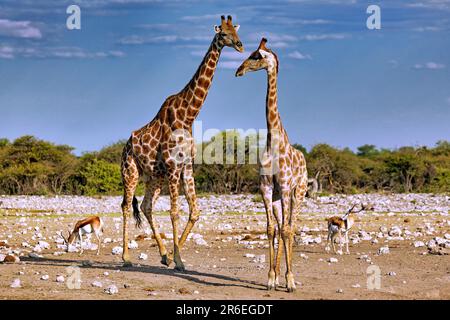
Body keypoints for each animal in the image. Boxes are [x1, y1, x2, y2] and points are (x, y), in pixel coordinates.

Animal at [120, 15, 243, 270]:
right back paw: (126, 257)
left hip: (154, 177)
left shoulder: (186, 167)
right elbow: (174, 212)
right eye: (223, 33)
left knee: (146, 206)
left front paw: (174, 256)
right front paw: (177, 259)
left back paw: (163, 254)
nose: (240, 44)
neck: (188, 117)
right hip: (131, 172)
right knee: (127, 206)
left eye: (235, 31)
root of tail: (125, 147)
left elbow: (194, 211)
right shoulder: (173, 166)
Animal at [236, 38, 310, 292]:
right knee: (280, 226)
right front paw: (270, 278)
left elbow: (287, 230)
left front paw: (290, 281)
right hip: (279, 197)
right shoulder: (266, 187)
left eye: (256, 55)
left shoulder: (287, 187)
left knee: (291, 226)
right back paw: (277, 276)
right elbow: (270, 229)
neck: (273, 141)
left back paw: (288, 278)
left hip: (298, 193)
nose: (239, 70)